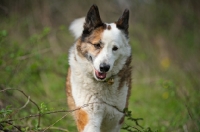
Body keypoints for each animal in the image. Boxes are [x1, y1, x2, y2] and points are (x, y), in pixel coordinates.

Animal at [66, 4, 132, 132]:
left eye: (115, 48)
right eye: (97, 45)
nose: (104, 67)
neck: (102, 84)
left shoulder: (114, 119)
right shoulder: (88, 114)